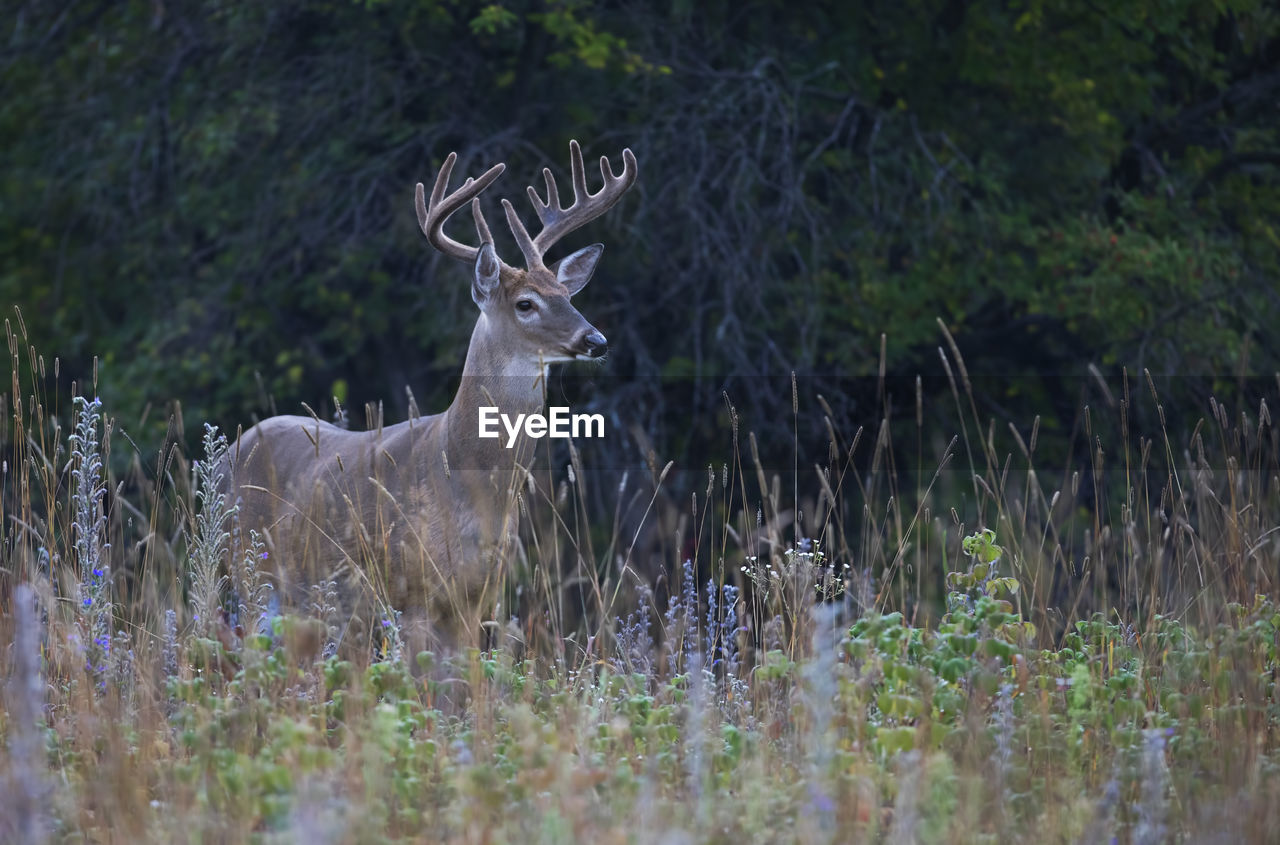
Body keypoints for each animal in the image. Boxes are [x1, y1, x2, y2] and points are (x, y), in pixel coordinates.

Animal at [225, 138, 640, 652]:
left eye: (567, 294)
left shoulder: (479, 597)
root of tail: (229, 448)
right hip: (247, 573)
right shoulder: (414, 590)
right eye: (525, 303)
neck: (466, 474)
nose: (596, 340)